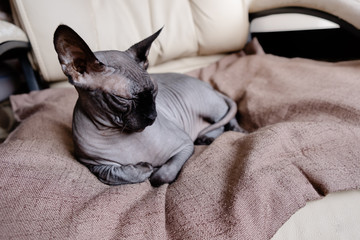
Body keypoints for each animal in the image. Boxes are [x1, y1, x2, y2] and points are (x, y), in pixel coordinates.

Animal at [54, 24, 245, 186]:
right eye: (123, 99)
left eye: (154, 91)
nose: (153, 116)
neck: (113, 132)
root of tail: (209, 85)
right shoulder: (93, 165)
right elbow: (115, 174)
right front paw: (143, 168)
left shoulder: (185, 145)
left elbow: (162, 177)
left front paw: (153, 170)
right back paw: (206, 138)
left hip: (208, 106)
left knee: (226, 117)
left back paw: (235, 131)